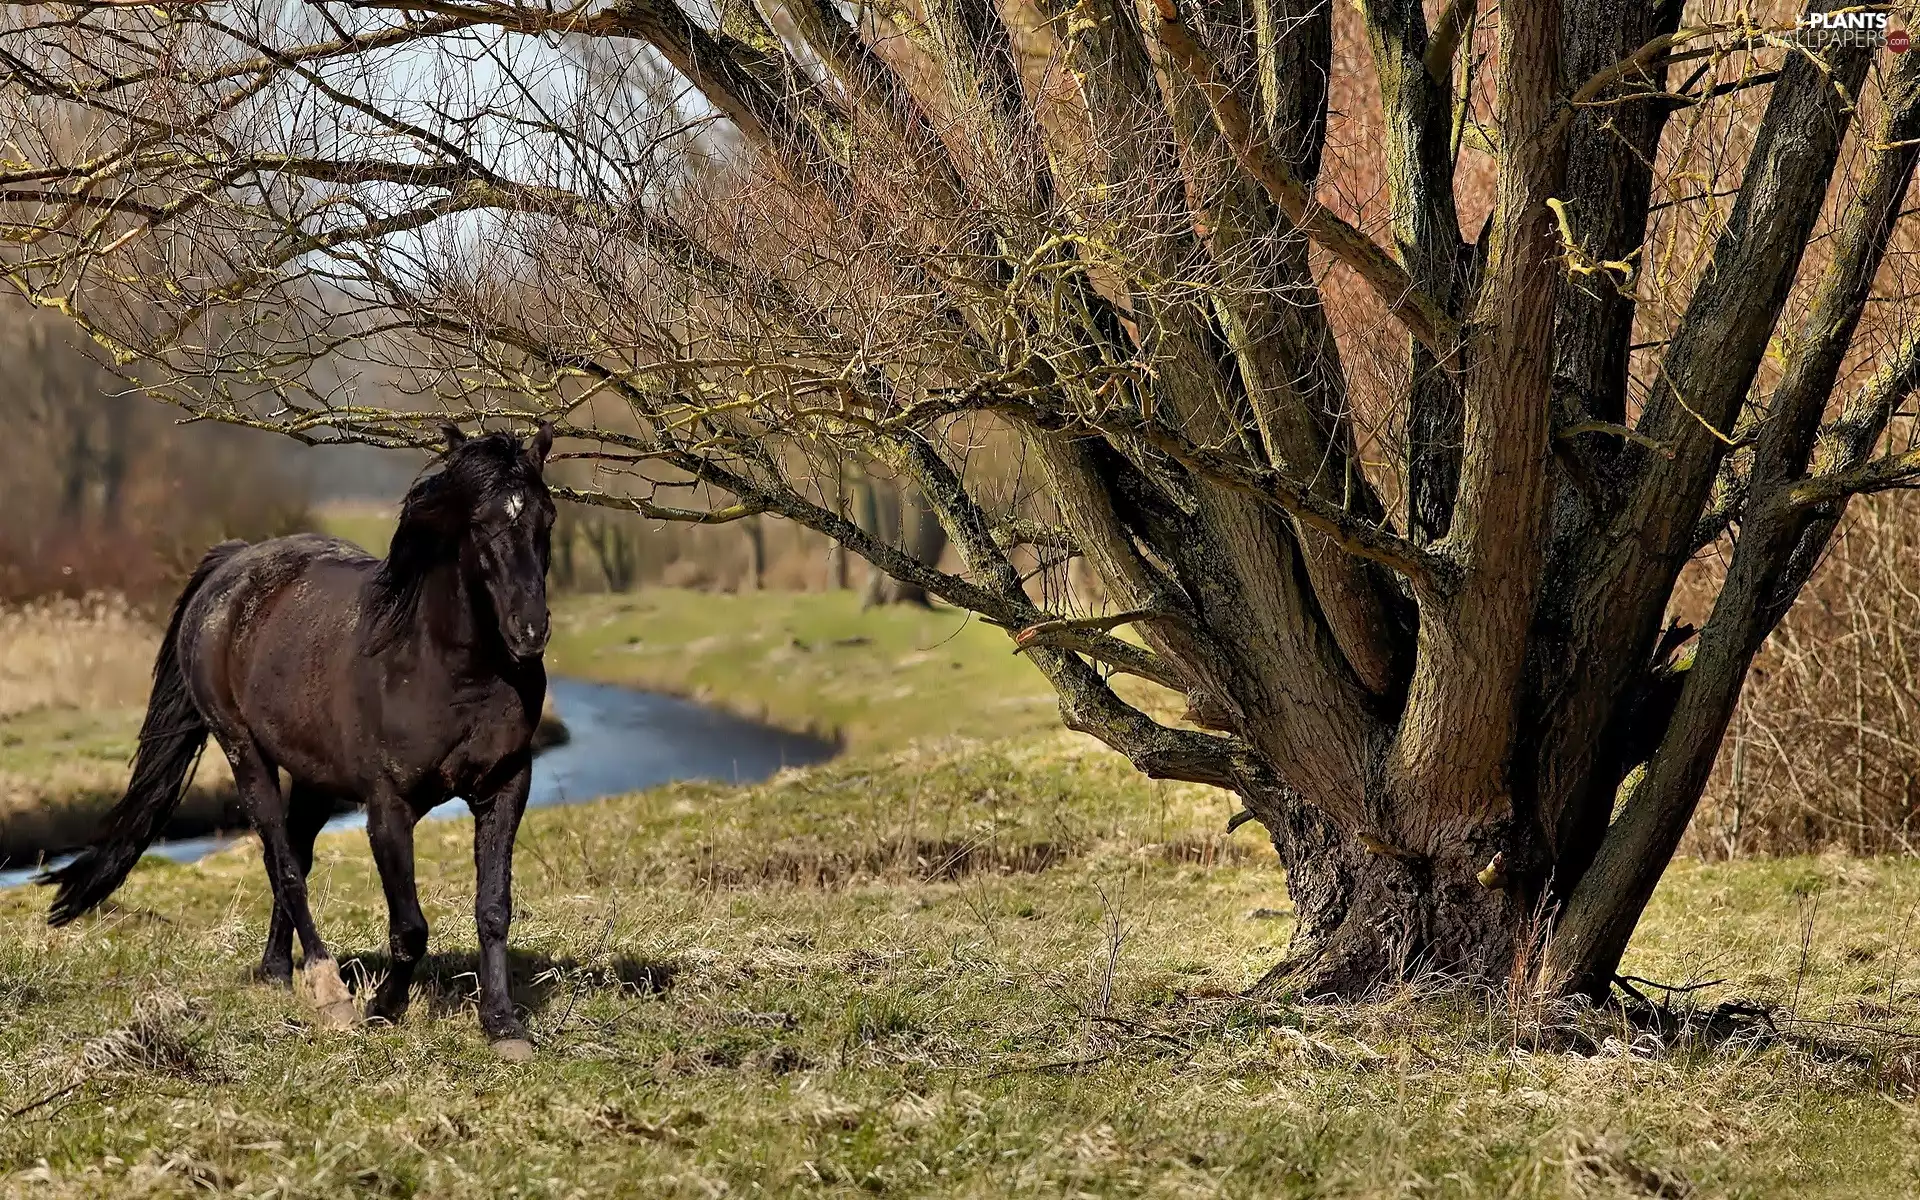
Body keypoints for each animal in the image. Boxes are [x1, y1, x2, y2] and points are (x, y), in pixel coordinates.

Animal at [42, 422, 557, 1059]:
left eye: (546, 518)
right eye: (481, 523)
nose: (529, 632)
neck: (445, 669)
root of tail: (233, 562)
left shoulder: (506, 788)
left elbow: (493, 907)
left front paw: (504, 1025)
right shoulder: (388, 807)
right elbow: (409, 926)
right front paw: (382, 1009)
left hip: (314, 777)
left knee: (291, 857)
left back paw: (275, 971)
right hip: (245, 753)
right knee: (283, 860)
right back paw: (328, 991)